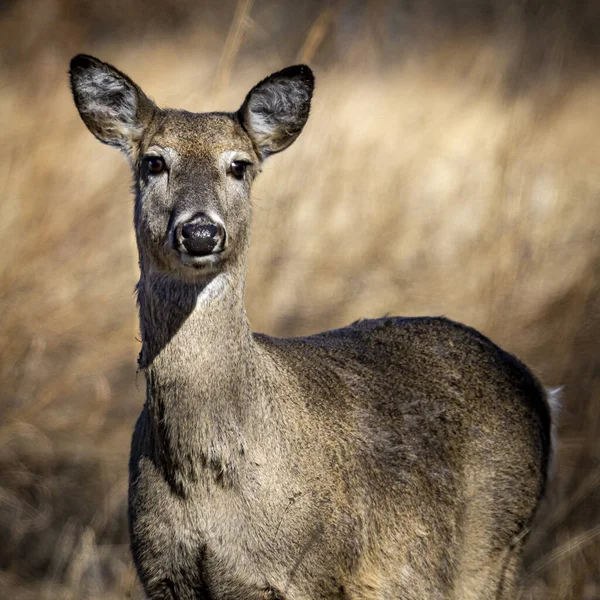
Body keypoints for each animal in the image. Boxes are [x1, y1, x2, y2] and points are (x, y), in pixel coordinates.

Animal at [69, 54, 552, 596]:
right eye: (154, 162)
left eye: (239, 165)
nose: (200, 232)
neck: (207, 478)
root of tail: (537, 389)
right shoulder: (159, 568)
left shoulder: (310, 571)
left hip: (494, 545)